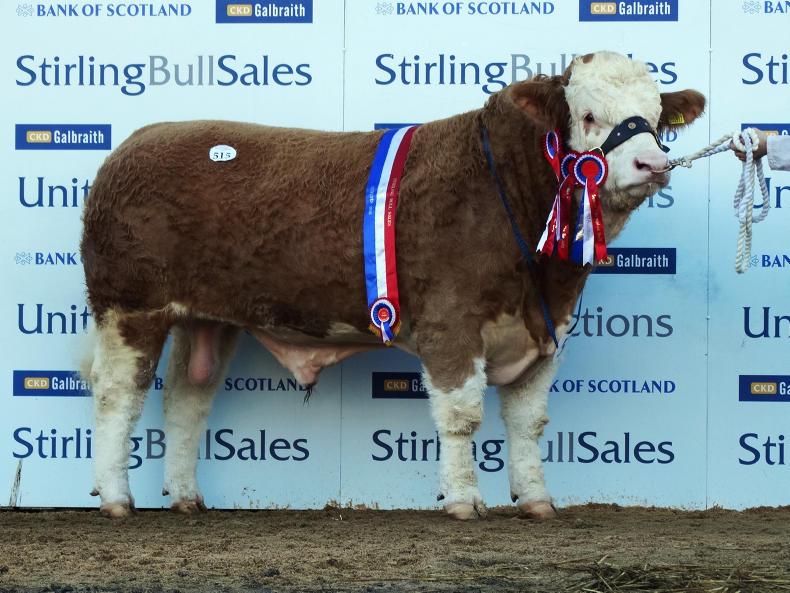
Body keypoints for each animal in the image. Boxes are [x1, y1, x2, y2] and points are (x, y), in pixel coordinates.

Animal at [80, 51, 705, 520]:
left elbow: (529, 422)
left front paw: (537, 501)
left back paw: (186, 497)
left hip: (207, 317)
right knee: (118, 395)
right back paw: (116, 498)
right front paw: (464, 501)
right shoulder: (452, 321)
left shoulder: (547, 333)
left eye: (655, 116)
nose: (652, 164)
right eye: (590, 114)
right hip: (128, 307)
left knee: (187, 398)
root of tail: (137, 140)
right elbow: (462, 415)